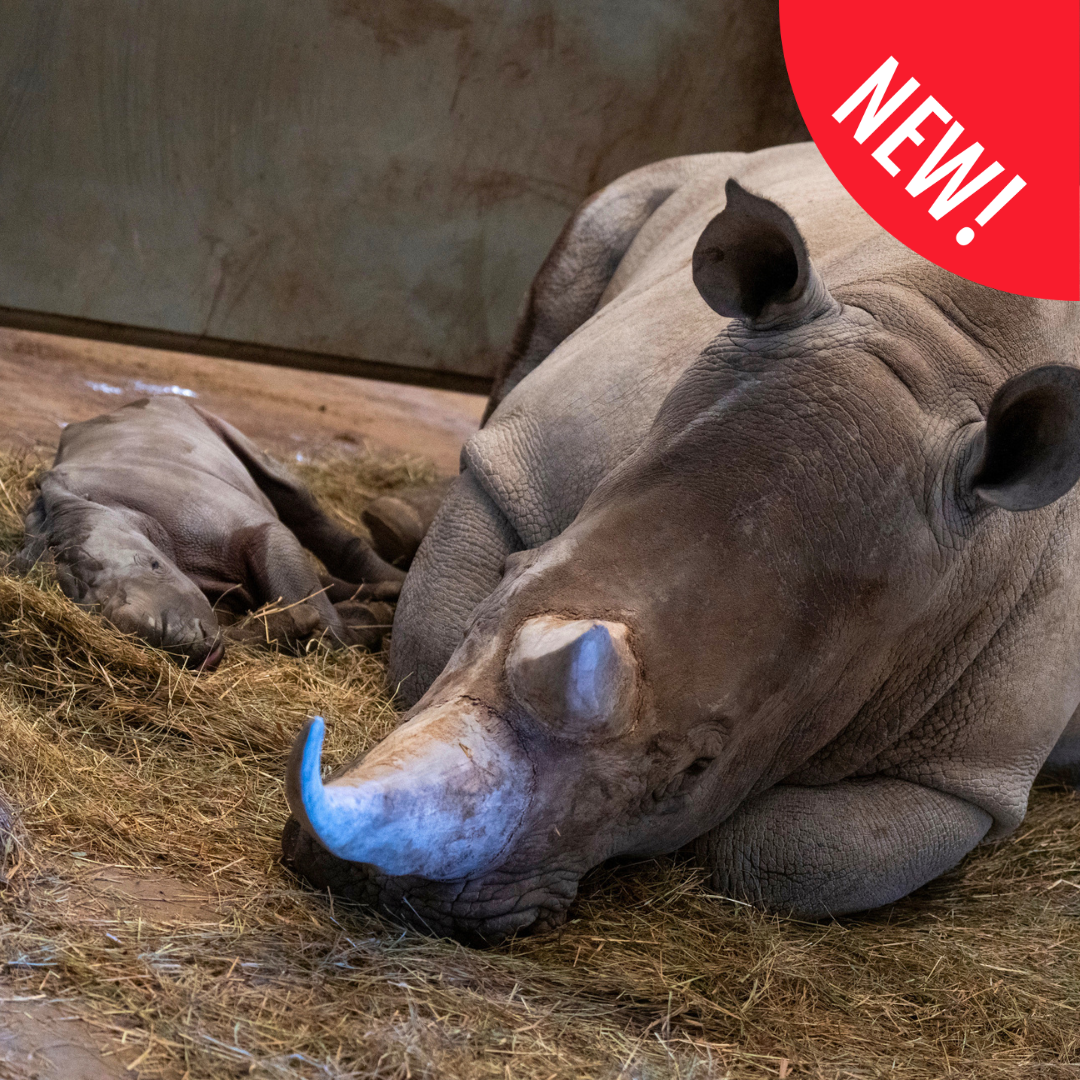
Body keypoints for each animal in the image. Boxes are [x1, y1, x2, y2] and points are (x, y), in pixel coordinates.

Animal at [18, 396, 403, 668]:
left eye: (155, 565)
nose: (166, 640)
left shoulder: (246, 526)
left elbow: (304, 599)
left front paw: (353, 626)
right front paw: (355, 617)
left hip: (195, 416)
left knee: (290, 495)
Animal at [282, 141, 1080, 943]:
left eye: (699, 767)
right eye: (504, 584)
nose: (373, 885)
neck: (940, 351)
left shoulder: (971, 772)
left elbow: (786, 853)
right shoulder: (524, 463)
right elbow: (428, 642)